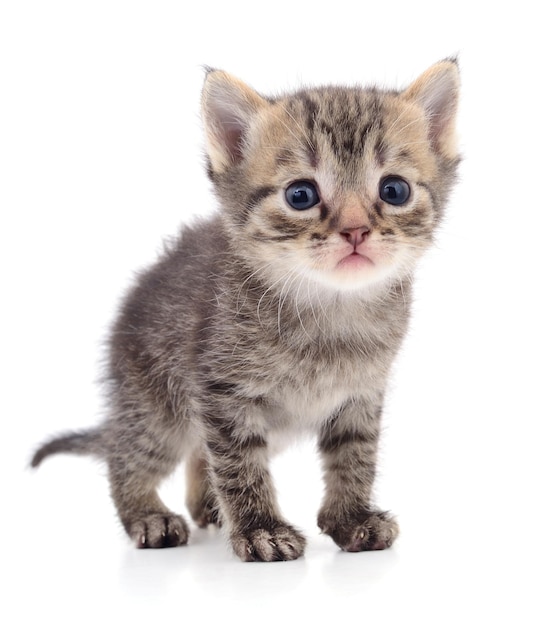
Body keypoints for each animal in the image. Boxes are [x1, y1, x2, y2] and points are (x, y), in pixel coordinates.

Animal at [31, 61, 462, 560]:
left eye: (394, 190)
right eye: (300, 195)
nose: (356, 230)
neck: (329, 309)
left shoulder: (361, 394)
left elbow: (354, 456)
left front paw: (350, 518)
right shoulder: (222, 392)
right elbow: (239, 463)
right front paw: (260, 529)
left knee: (198, 455)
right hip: (156, 406)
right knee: (129, 455)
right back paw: (148, 515)